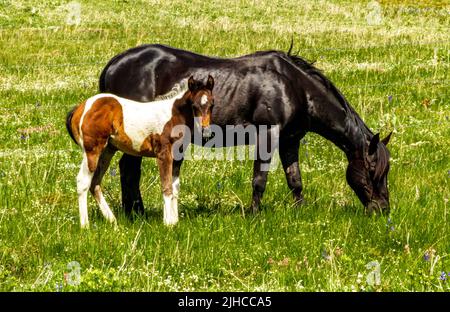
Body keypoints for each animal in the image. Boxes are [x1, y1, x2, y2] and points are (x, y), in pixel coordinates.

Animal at [66, 75, 214, 227]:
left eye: (212, 105)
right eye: (194, 106)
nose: (206, 132)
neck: (173, 116)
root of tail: (80, 108)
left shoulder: (178, 157)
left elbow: (175, 188)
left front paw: (174, 221)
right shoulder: (163, 154)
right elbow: (166, 187)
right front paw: (168, 223)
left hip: (107, 150)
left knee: (95, 182)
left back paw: (113, 221)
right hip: (92, 150)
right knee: (83, 181)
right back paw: (85, 225)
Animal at [97, 43, 390, 214]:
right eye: (373, 171)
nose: (383, 209)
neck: (293, 86)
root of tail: (114, 63)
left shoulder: (290, 140)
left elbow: (295, 179)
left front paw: (300, 211)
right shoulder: (267, 135)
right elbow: (259, 179)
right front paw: (254, 213)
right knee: (129, 169)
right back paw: (136, 213)